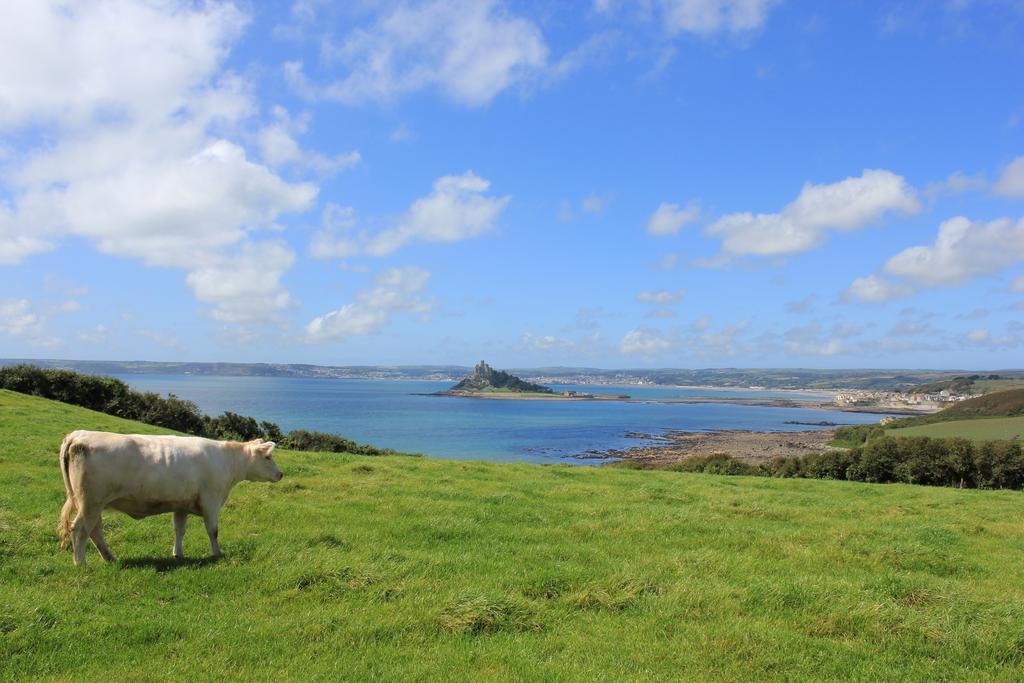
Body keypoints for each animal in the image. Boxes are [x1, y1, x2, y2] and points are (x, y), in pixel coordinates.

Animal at [59, 432, 284, 565]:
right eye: (268, 457)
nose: (280, 474)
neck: (226, 461)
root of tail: (79, 435)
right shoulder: (211, 501)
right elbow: (213, 530)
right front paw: (217, 553)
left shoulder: (181, 504)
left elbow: (179, 529)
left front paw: (178, 554)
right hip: (90, 502)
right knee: (80, 529)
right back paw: (80, 563)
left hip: (92, 503)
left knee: (95, 531)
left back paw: (110, 558)